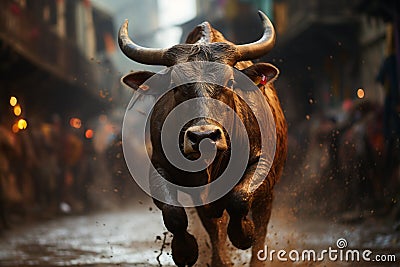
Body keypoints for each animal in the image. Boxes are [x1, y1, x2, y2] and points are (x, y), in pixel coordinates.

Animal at [119, 11, 288, 267]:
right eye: (175, 85)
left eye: (230, 82)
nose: (203, 136)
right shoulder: (159, 166)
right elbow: (174, 213)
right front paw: (185, 250)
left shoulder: (262, 165)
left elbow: (240, 199)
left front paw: (242, 234)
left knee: (261, 223)